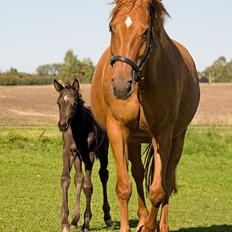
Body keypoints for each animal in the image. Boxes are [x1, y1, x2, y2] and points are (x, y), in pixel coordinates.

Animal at [53, 79, 111, 231]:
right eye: (58, 102)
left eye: (74, 103)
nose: (62, 125)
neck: (78, 129)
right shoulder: (68, 152)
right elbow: (65, 179)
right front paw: (65, 222)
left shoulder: (89, 155)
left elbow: (88, 187)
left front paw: (86, 222)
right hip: (78, 157)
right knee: (78, 178)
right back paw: (74, 220)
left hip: (103, 151)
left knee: (103, 175)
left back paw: (107, 217)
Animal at [90, 0, 199, 231]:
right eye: (111, 27)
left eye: (146, 31)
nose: (121, 85)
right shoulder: (117, 131)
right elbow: (124, 186)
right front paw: (130, 226)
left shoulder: (163, 135)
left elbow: (158, 190)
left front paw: (150, 226)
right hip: (133, 139)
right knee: (139, 173)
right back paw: (141, 217)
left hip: (177, 138)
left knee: (168, 179)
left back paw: (161, 224)